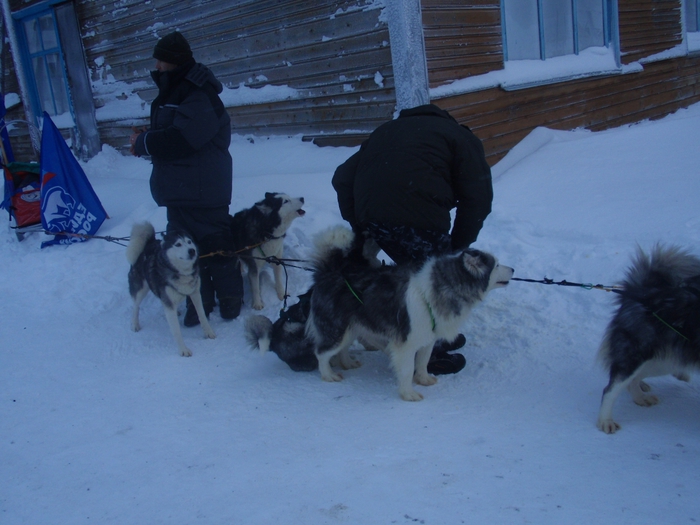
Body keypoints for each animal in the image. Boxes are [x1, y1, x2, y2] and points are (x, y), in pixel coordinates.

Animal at [125, 221, 213, 356]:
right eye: (178, 244)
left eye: (189, 242)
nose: (192, 251)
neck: (181, 272)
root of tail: (149, 243)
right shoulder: (169, 301)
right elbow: (176, 331)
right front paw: (183, 350)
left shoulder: (195, 293)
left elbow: (202, 315)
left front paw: (208, 332)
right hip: (141, 289)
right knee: (136, 306)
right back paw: (134, 324)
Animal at [306, 225, 516, 402]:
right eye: (497, 265)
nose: (513, 269)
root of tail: (330, 271)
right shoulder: (406, 345)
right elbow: (407, 371)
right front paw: (408, 394)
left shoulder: (427, 340)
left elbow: (422, 363)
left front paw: (423, 379)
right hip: (336, 330)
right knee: (321, 353)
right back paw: (328, 374)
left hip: (351, 328)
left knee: (342, 349)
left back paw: (347, 362)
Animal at [596, 246, 700, 434]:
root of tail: (640, 291)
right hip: (638, 354)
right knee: (610, 389)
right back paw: (605, 421)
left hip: (665, 360)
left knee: (632, 380)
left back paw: (640, 397)